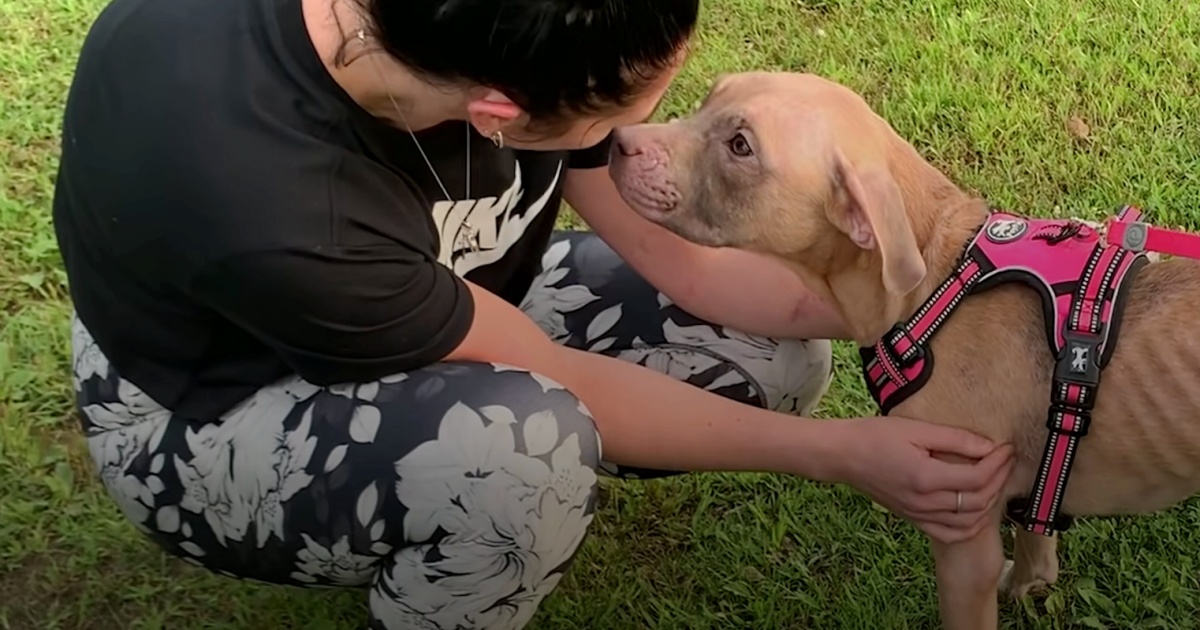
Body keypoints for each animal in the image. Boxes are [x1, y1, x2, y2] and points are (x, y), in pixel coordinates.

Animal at [609, 68, 1200, 628]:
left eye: (740, 146)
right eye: (709, 97)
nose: (616, 141)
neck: (935, 282)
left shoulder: (964, 542)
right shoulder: (1034, 491)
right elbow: (1036, 542)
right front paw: (1027, 584)